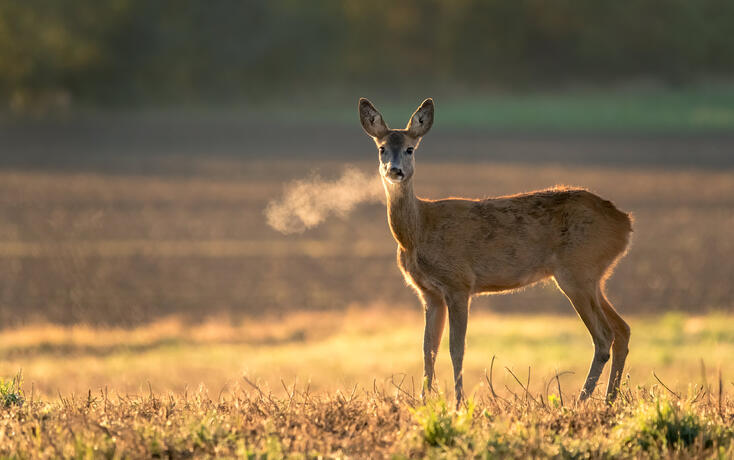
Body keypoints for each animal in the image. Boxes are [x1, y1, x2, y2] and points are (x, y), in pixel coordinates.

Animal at [358, 97, 633, 407]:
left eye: (410, 148)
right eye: (381, 148)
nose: (395, 170)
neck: (418, 231)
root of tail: (626, 223)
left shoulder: (459, 283)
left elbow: (456, 348)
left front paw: (458, 404)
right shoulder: (428, 293)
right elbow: (428, 349)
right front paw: (423, 402)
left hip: (577, 271)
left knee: (604, 336)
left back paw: (581, 400)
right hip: (593, 277)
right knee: (622, 330)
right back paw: (609, 399)